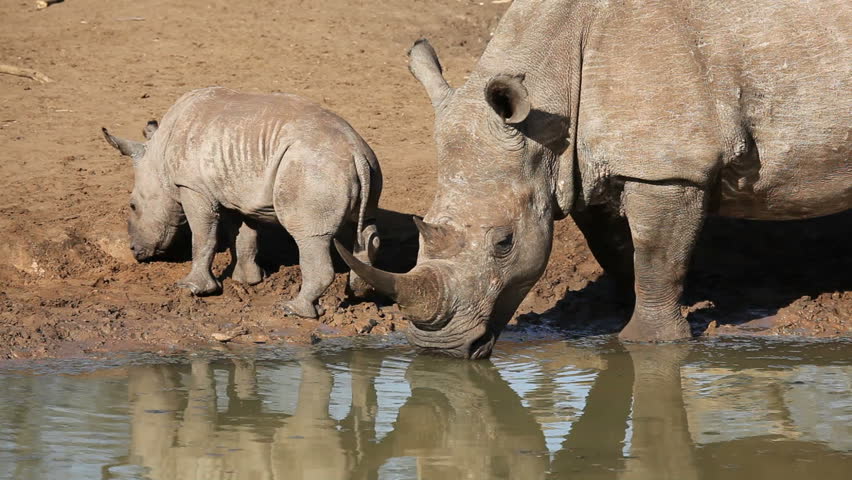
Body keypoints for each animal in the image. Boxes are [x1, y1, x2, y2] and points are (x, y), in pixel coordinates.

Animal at [103, 87, 382, 318]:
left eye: (132, 206)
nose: (135, 251)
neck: (158, 157)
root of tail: (354, 152)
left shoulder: (193, 187)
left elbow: (203, 237)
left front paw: (192, 287)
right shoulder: (236, 189)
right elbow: (245, 236)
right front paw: (247, 281)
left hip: (313, 169)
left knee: (310, 236)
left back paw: (293, 310)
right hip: (363, 165)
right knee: (366, 228)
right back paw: (360, 292)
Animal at [337, 0, 851, 358]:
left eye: (504, 243)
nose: (439, 350)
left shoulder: (668, 166)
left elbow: (657, 257)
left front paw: (648, 343)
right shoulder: (576, 165)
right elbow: (618, 249)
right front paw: (622, 312)